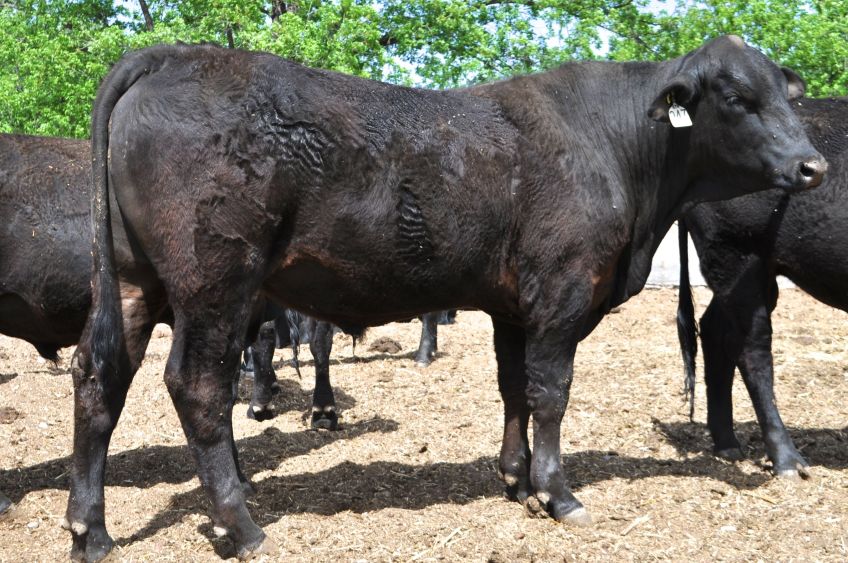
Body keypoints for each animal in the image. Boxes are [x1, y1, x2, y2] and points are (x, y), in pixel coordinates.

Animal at [67, 36, 826, 560]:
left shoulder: (513, 304)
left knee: (101, 378)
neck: (617, 144)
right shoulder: (561, 293)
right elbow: (551, 391)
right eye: (737, 98)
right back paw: (241, 524)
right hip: (216, 280)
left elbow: (514, 386)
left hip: (133, 281)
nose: (812, 165)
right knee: (196, 385)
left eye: (788, 96)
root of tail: (171, 55)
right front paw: (558, 492)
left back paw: (89, 529)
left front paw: (516, 478)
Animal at [677, 96, 848, 479]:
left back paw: (727, 443)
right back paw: (787, 459)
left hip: (751, 269)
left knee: (715, 330)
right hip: (735, 253)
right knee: (753, 350)